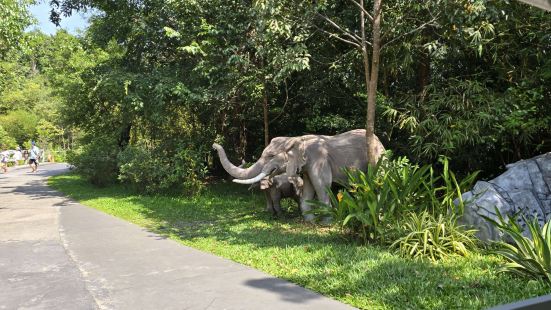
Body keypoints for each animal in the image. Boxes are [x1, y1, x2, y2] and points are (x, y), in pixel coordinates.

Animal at [216, 130, 384, 222]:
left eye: (270, 156)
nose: (214, 145)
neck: (295, 139)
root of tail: (377, 138)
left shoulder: (318, 160)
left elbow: (323, 186)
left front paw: (326, 223)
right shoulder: (307, 167)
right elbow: (308, 190)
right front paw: (310, 221)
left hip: (379, 157)